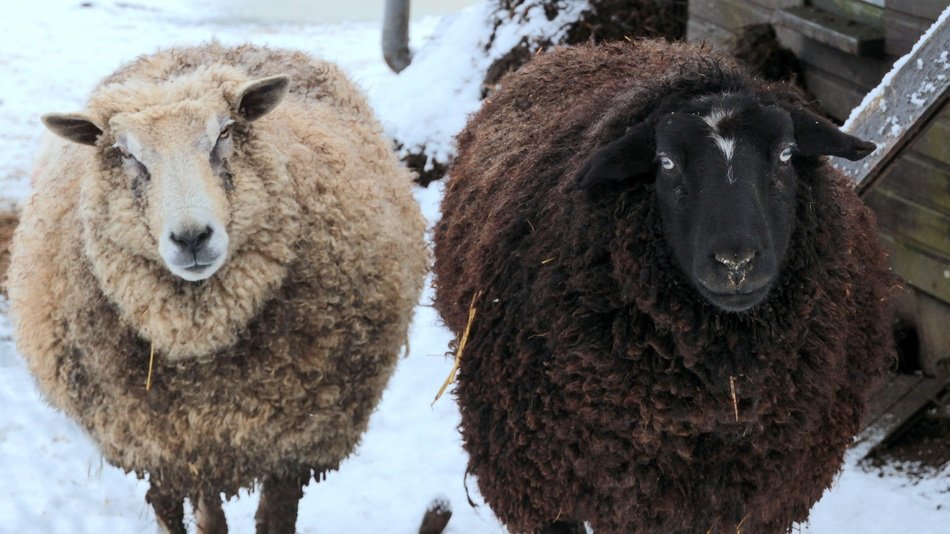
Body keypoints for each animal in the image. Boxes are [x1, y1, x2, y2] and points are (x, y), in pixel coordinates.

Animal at [7, 42, 426, 533]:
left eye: (224, 132)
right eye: (125, 152)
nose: (192, 238)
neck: (199, 339)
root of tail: (213, 45)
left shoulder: (293, 446)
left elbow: (275, 521)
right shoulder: (168, 450)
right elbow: (187, 519)